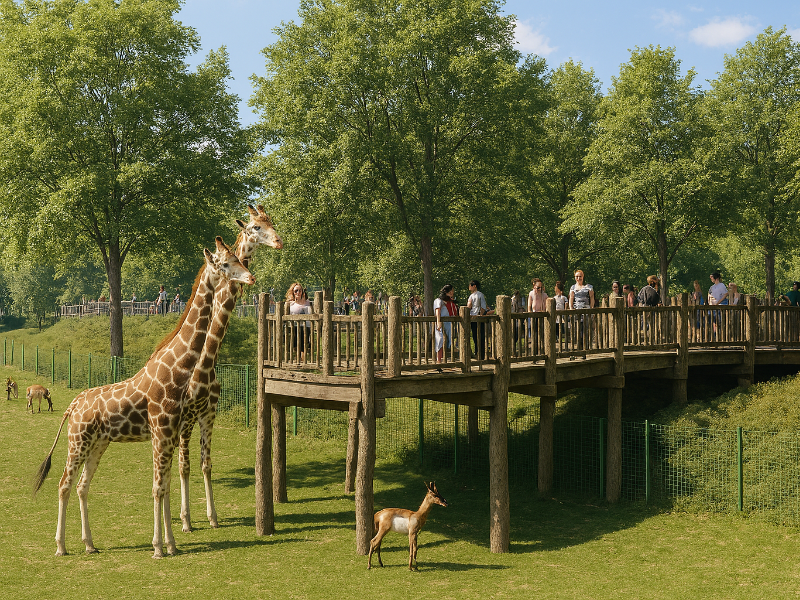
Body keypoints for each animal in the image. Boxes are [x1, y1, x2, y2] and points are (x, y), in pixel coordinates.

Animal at [32, 237, 255, 558]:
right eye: (225, 263)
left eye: (238, 258)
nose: (249, 278)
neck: (178, 369)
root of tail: (72, 406)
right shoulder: (161, 431)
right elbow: (157, 488)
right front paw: (158, 547)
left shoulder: (170, 433)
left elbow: (166, 486)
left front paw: (172, 544)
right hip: (78, 441)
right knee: (64, 483)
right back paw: (61, 546)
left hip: (98, 443)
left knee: (82, 485)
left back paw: (89, 544)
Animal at [179, 205, 282, 532]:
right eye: (255, 227)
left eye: (271, 221)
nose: (279, 242)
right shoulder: (186, 416)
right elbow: (185, 466)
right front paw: (187, 520)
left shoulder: (208, 412)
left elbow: (205, 464)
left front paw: (211, 516)